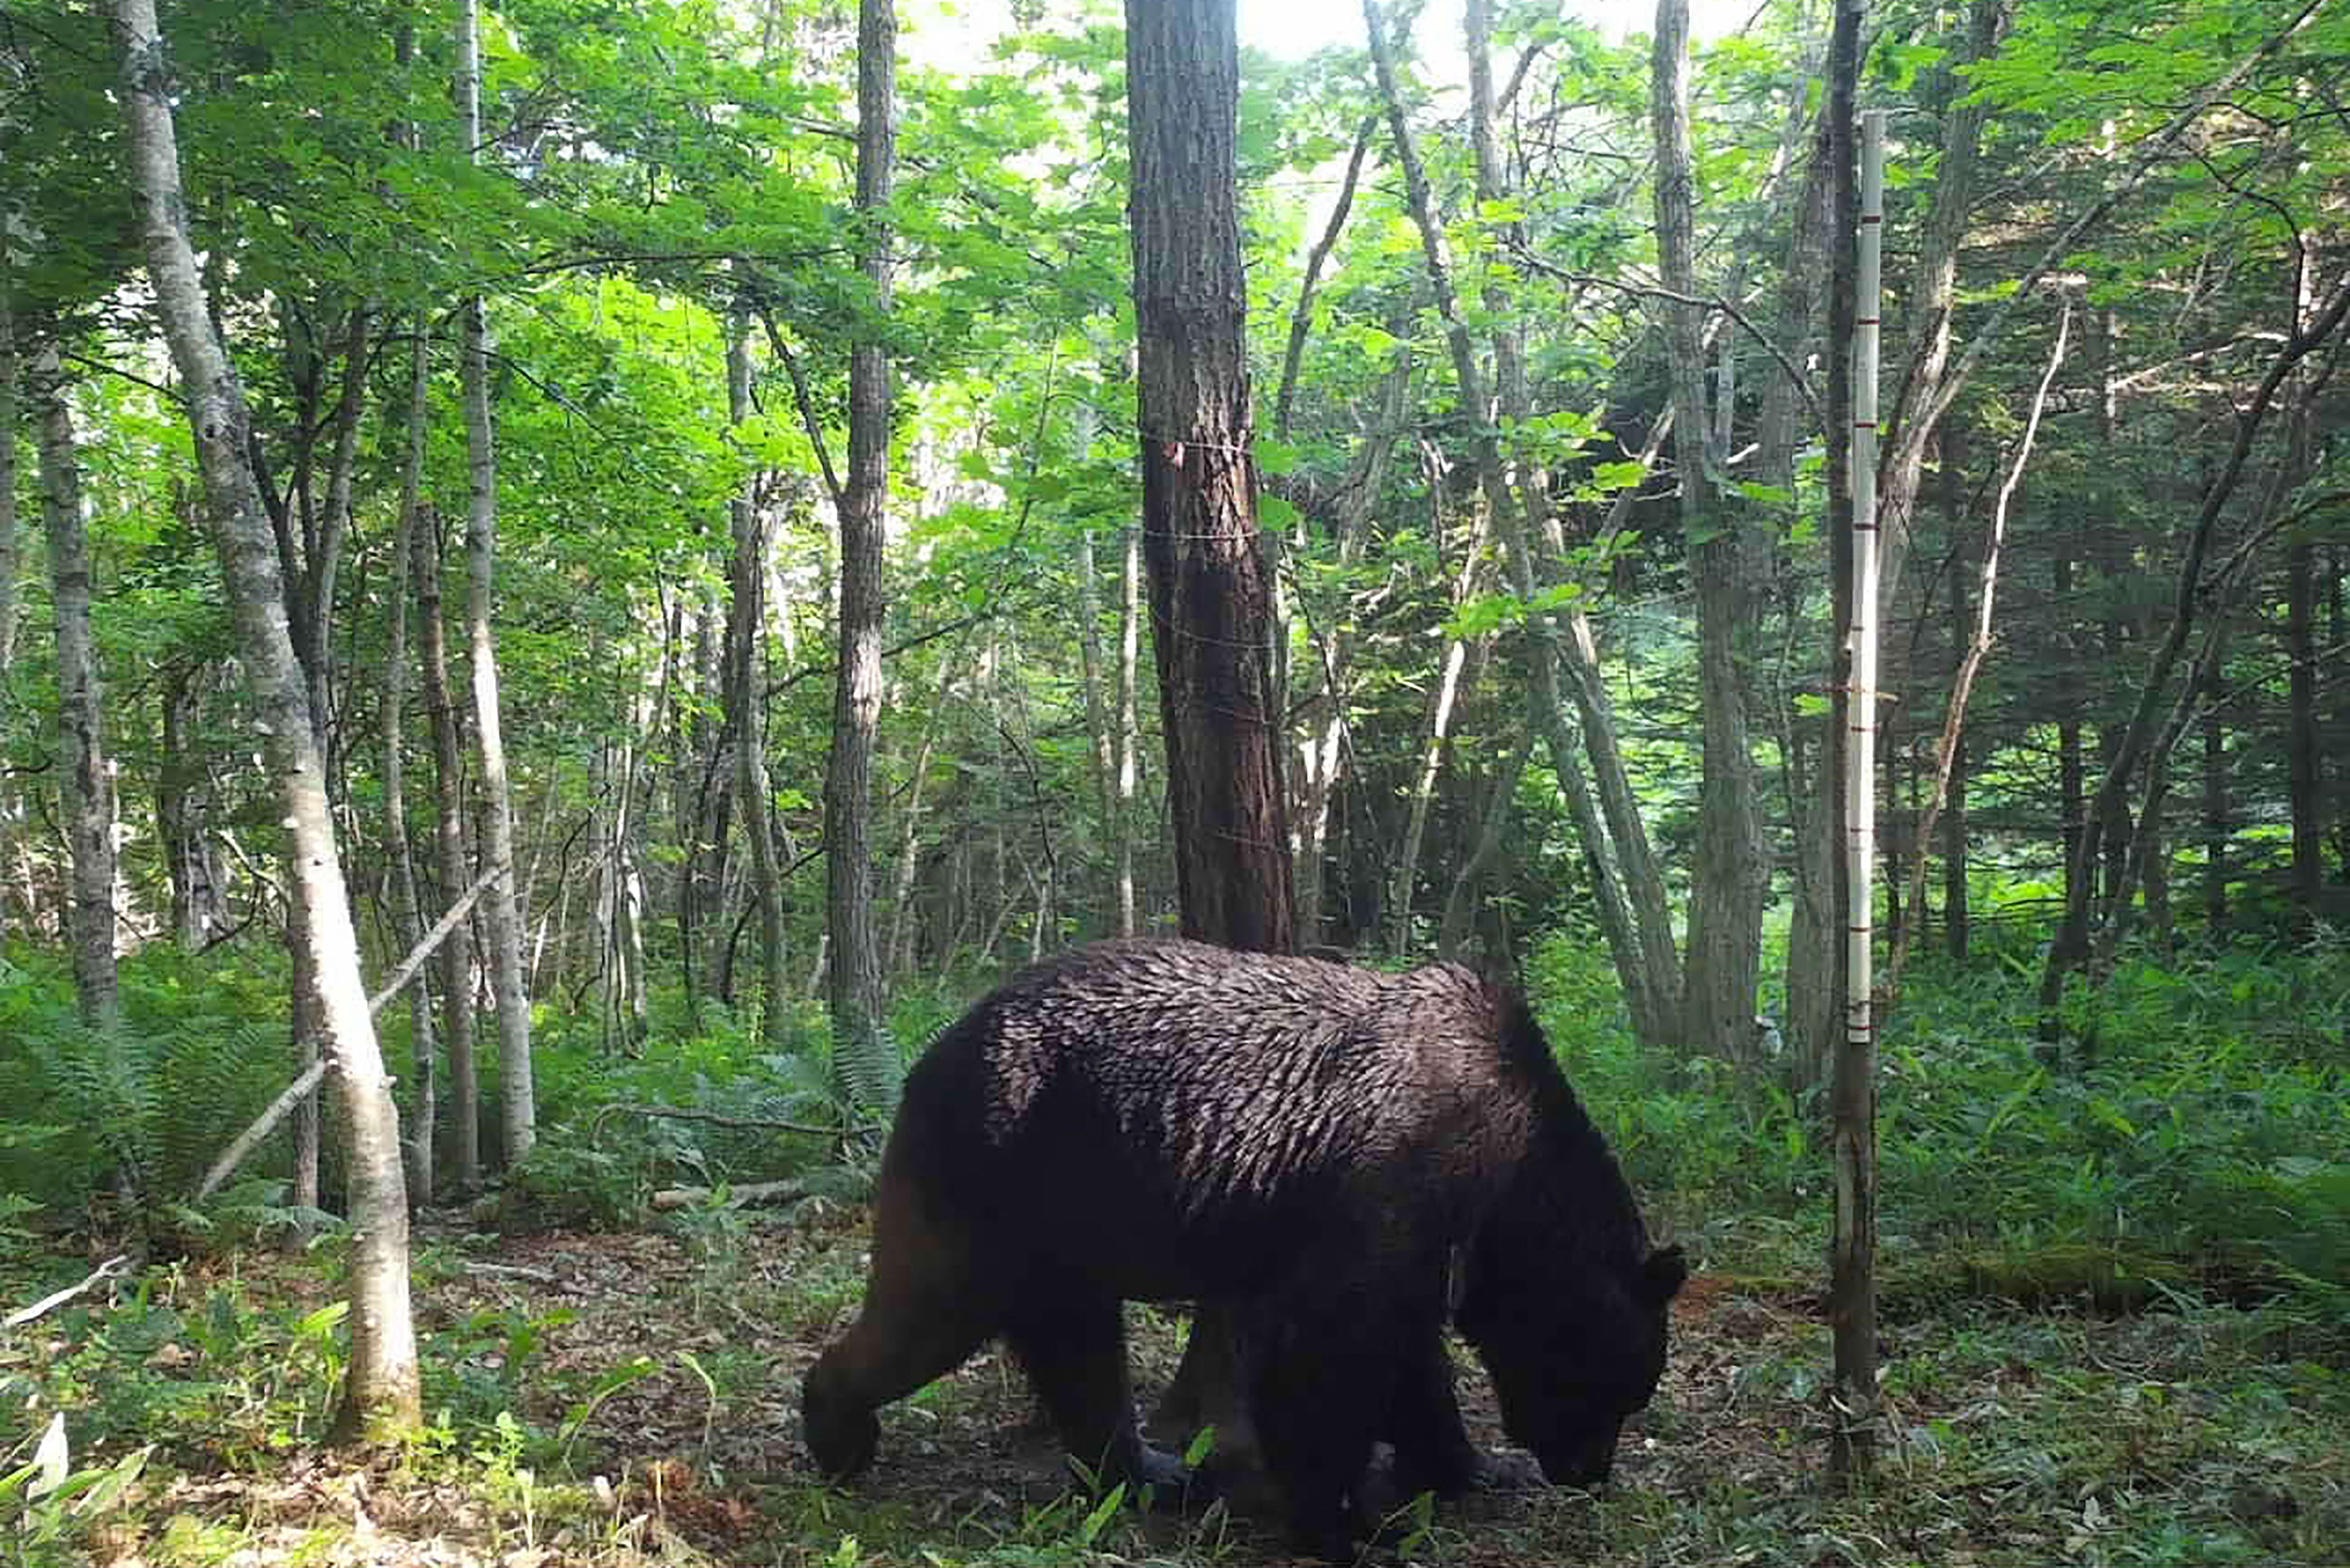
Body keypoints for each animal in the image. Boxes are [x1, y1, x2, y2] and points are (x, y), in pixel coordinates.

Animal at [799, 940, 1682, 1561]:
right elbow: (1328, 1354)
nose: (1588, 1471)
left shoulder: (1422, 1242)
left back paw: (1152, 1472)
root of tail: (932, 1050)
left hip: (1068, 1222)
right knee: (931, 1312)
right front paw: (1350, 1526)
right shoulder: (1392, 1182)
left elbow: (1409, 1359)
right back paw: (837, 1432)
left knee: (1078, 1349)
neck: (1507, 1176)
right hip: (999, 1170)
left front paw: (1469, 1468)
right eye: (1614, 1392)